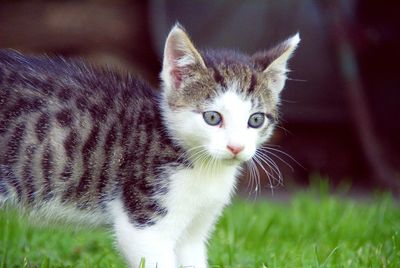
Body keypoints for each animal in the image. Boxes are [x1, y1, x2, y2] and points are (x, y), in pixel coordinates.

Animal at [0, 24, 298, 266]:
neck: (202, 167)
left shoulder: (194, 234)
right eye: (212, 118)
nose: (236, 147)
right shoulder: (143, 225)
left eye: (256, 120)